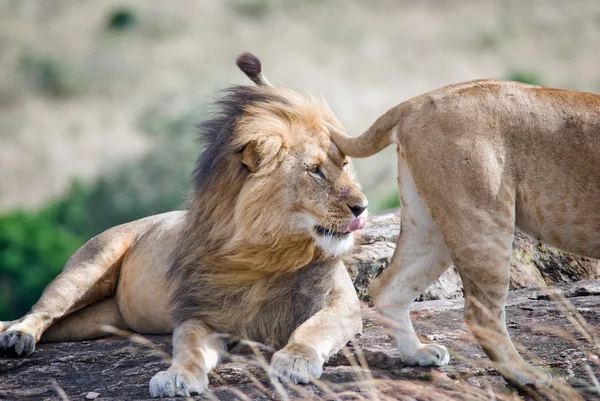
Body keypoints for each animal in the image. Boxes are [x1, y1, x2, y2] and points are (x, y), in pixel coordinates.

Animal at [0, 53, 368, 396]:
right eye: (315, 170)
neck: (269, 252)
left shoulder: (343, 303)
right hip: (87, 267)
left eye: (344, 164)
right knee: (42, 310)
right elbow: (188, 347)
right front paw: (176, 377)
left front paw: (295, 359)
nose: (362, 207)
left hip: (97, 320)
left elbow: (314, 328)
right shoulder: (203, 312)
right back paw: (17, 337)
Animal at [328, 79, 600, 386]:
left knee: (388, 287)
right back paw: (526, 374)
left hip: (428, 222)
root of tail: (414, 103)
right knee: (480, 314)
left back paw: (418, 354)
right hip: (483, 216)